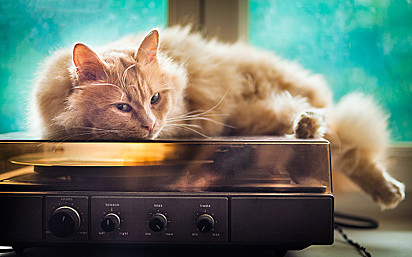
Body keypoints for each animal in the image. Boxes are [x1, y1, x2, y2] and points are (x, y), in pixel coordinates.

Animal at [33, 25, 406, 209]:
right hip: (257, 116)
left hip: (263, 108)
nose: (151, 125)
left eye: (155, 99)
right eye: (123, 108)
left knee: (336, 134)